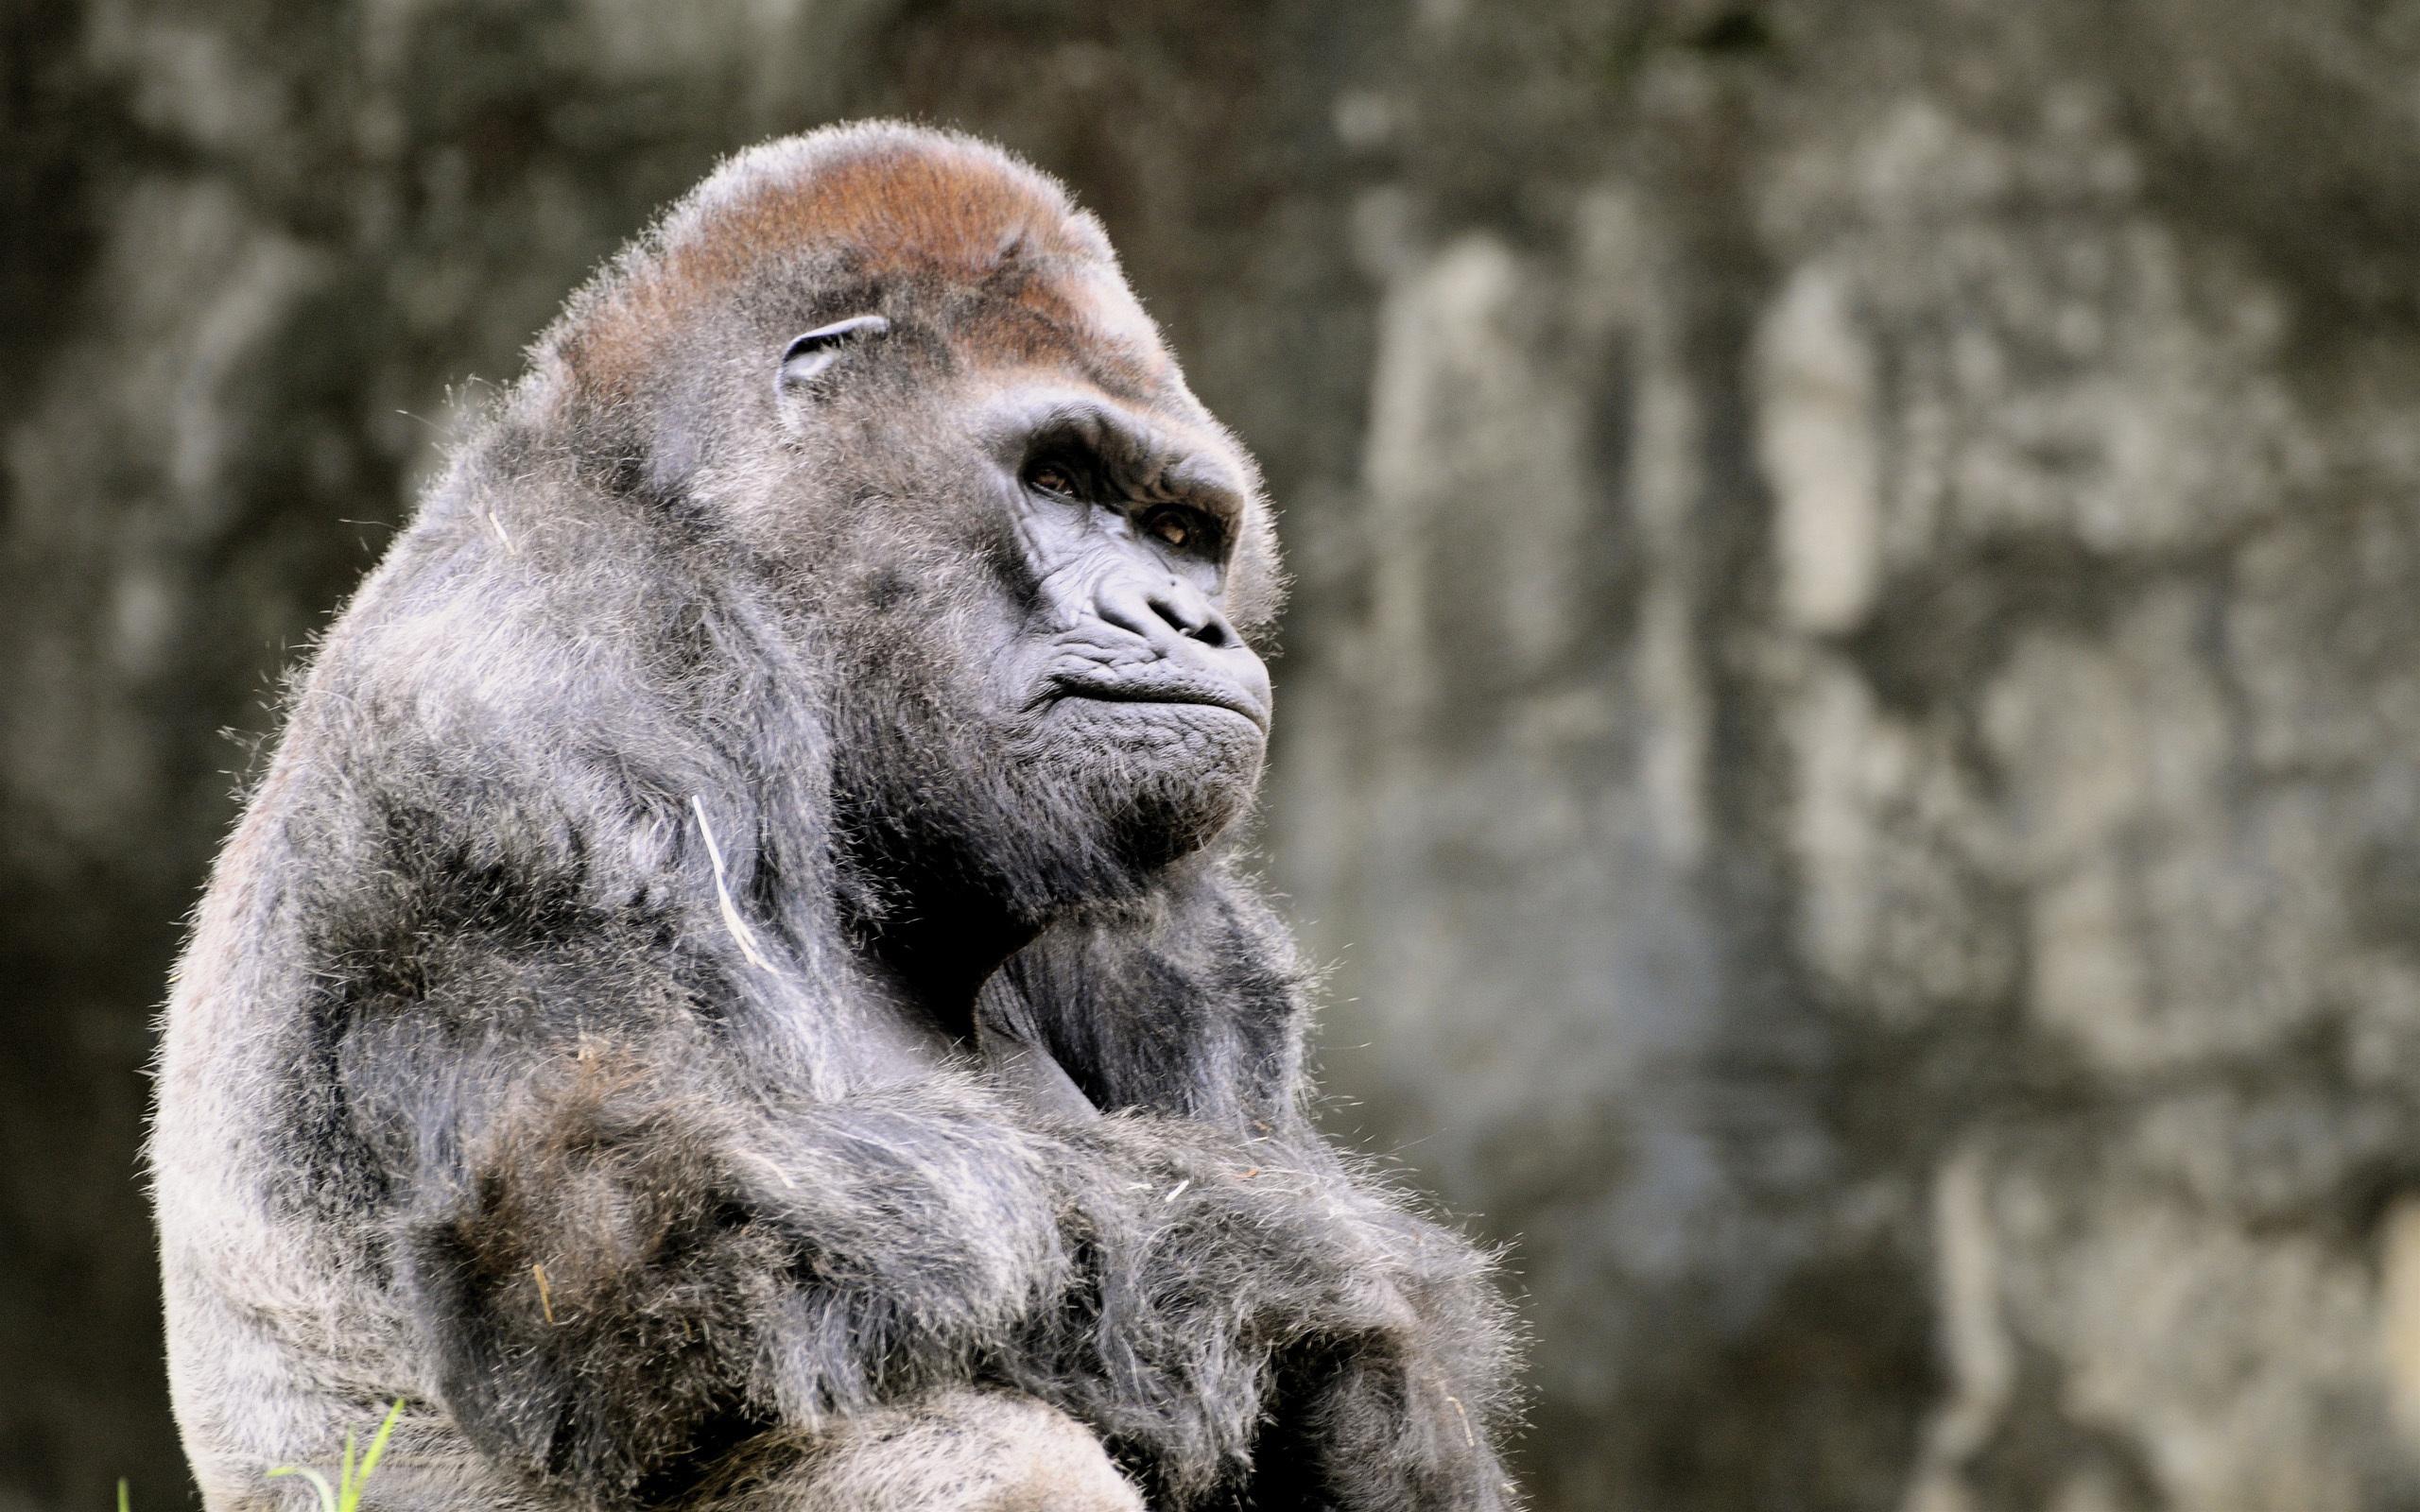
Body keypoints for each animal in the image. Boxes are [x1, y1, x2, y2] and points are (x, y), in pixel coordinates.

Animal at [150, 121, 1519, 1512]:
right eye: (1056, 477)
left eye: (1182, 531)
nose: (1184, 619)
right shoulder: (555, 671)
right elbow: (656, 1235)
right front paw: (1349, 1299)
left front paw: (1389, 1410)